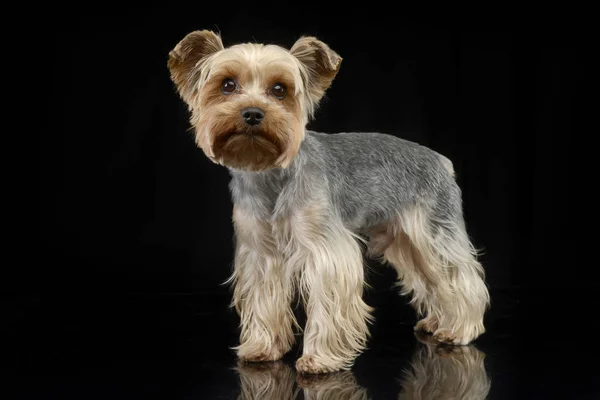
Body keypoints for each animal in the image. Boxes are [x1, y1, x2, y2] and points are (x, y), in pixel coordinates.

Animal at [166, 29, 490, 374]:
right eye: (227, 85)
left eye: (279, 90)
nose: (253, 113)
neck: (270, 173)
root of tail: (442, 161)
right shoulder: (261, 253)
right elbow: (264, 298)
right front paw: (262, 348)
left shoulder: (326, 250)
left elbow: (328, 300)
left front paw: (319, 359)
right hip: (406, 241)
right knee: (433, 280)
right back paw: (438, 323)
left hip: (433, 231)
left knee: (460, 276)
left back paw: (460, 329)